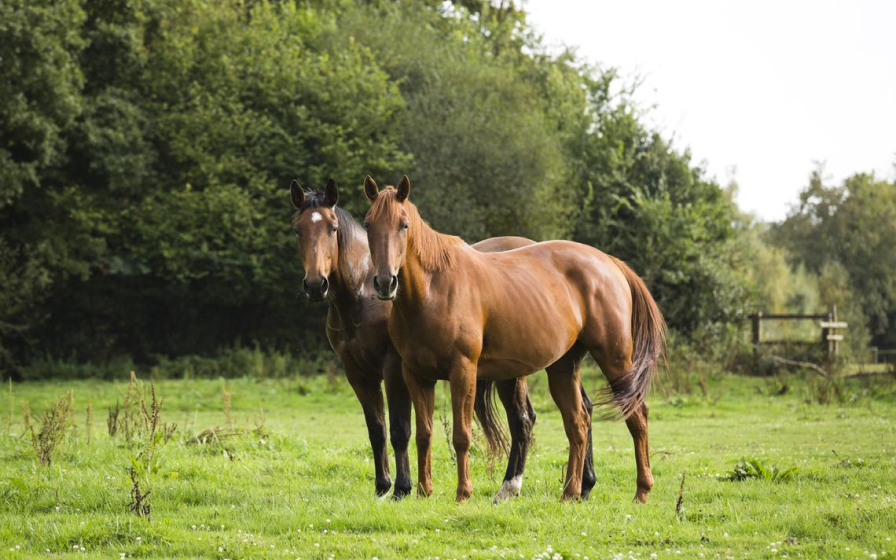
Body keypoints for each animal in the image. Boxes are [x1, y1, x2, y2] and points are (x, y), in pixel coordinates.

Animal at [290, 179, 597, 501]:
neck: (362, 295)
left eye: (332, 228)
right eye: (298, 229)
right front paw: (382, 487)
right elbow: (377, 430)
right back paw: (578, 483)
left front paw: (402, 488)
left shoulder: (394, 368)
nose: (315, 285)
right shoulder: (357, 373)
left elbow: (400, 430)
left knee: (531, 418)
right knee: (569, 411)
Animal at [362, 175, 665, 503]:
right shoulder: (416, 375)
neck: (433, 290)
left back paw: (642, 491)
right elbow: (424, 434)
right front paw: (423, 491)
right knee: (578, 423)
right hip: (563, 368)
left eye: (404, 224)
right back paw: (570, 493)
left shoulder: (463, 371)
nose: (385, 282)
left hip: (615, 359)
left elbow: (461, 435)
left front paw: (463, 493)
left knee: (637, 416)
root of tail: (608, 262)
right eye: (368, 224)